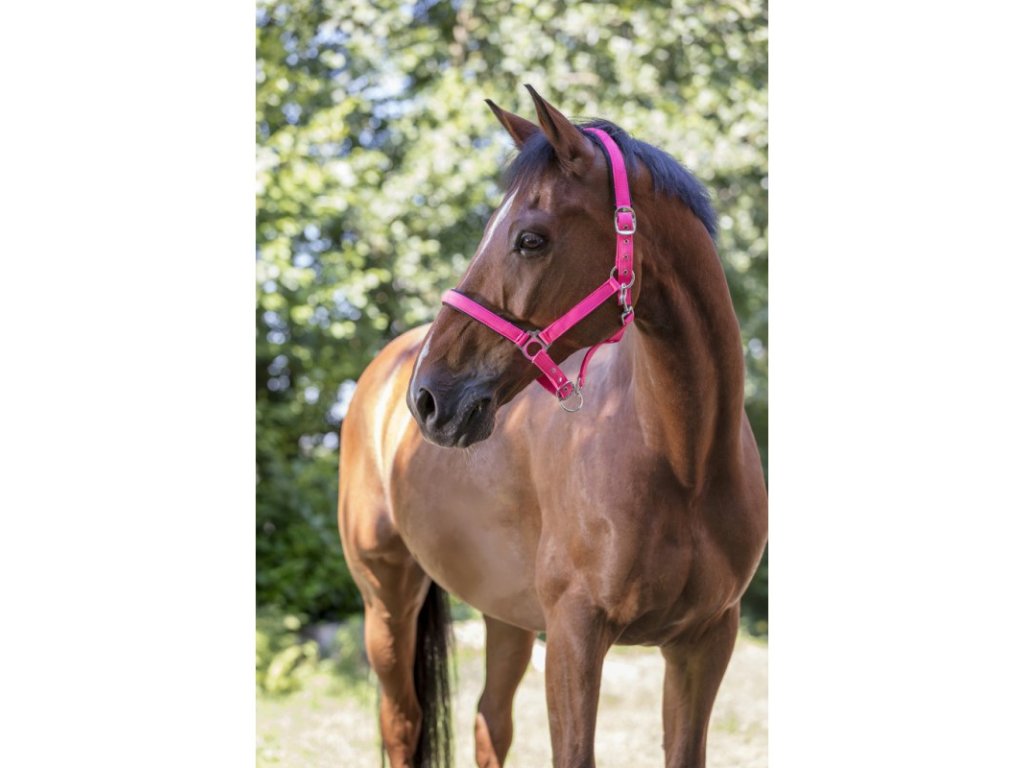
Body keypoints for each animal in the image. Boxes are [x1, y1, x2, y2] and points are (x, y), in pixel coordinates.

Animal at [338, 84, 767, 768]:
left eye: (530, 239)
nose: (428, 398)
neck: (685, 460)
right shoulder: (574, 636)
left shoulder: (704, 642)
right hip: (386, 601)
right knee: (402, 724)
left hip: (505, 613)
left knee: (490, 724)